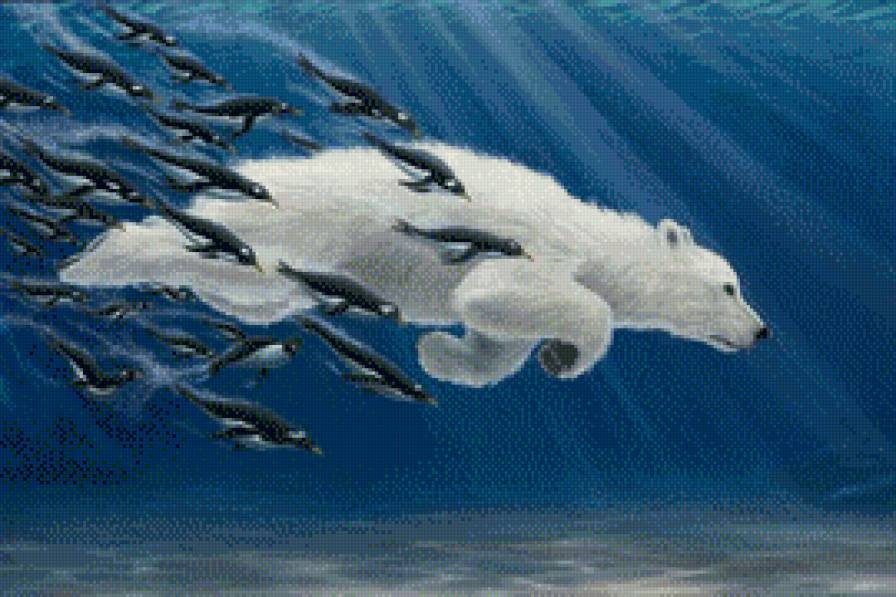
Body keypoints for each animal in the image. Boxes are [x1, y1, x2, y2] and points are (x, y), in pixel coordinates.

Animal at [60, 144, 768, 387]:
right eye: (729, 286)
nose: (762, 331)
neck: (592, 237)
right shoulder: (532, 246)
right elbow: (505, 291)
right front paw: (569, 351)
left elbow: (491, 329)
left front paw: (444, 353)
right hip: (296, 227)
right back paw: (97, 257)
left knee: (263, 294)